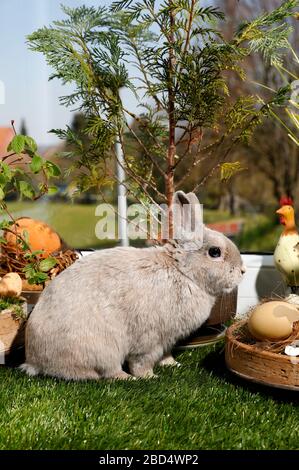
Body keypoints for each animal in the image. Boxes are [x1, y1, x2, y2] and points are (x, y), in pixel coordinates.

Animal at [20, 192, 246, 382]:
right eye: (215, 252)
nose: (242, 271)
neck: (183, 272)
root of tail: (34, 360)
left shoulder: (167, 340)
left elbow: (165, 355)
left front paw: (173, 365)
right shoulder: (150, 339)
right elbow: (142, 360)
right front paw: (149, 376)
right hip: (105, 348)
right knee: (106, 373)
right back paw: (128, 378)